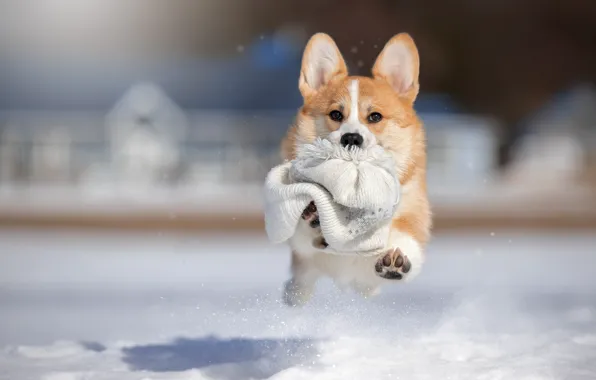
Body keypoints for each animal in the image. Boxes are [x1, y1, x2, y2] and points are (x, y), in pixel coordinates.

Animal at [282, 31, 430, 306]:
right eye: (335, 114)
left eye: (375, 117)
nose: (351, 138)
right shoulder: (301, 241)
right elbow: (303, 235)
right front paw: (316, 216)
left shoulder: (411, 212)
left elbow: (406, 237)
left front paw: (395, 261)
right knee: (301, 282)